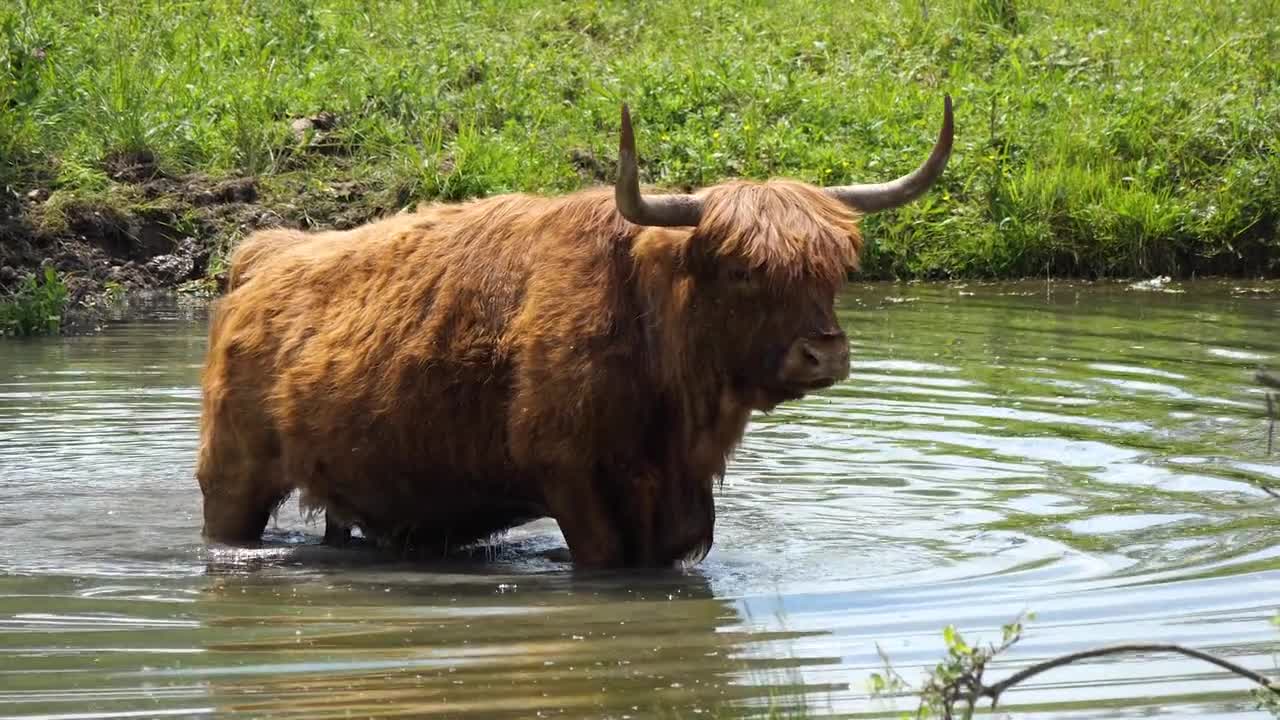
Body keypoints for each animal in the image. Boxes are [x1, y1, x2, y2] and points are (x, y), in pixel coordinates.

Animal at [196, 96, 954, 568]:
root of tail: (265, 253)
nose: (824, 352)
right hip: (232, 477)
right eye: (743, 270)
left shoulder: (675, 503)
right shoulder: (571, 477)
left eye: (835, 270)